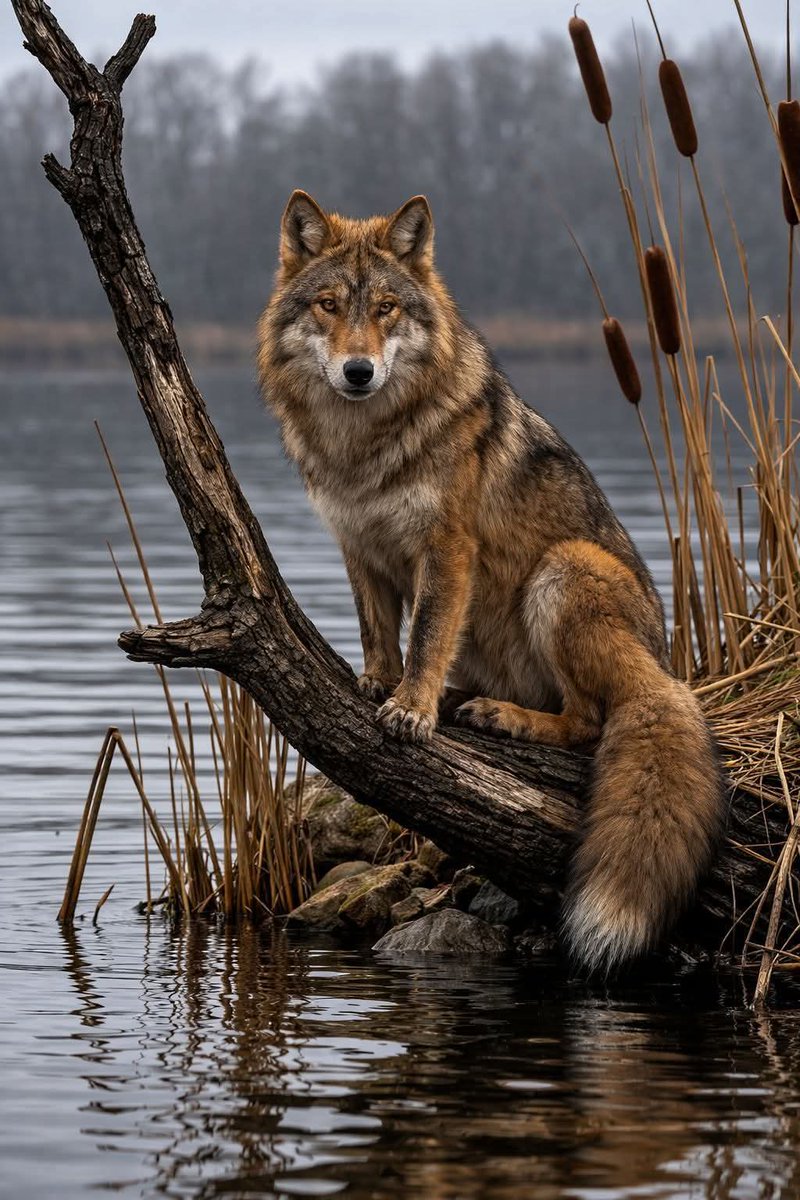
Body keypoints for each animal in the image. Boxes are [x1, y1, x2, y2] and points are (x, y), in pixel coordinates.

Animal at [257, 189, 724, 971]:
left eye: (386, 308)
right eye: (328, 305)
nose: (358, 371)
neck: (365, 445)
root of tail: (665, 674)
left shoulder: (446, 549)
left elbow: (426, 634)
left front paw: (411, 710)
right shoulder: (359, 546)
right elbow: (380, 630)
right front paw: (379, 683)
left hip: (564, 571)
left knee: (586, 721)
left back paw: (500, 715)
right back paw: (466, 700)